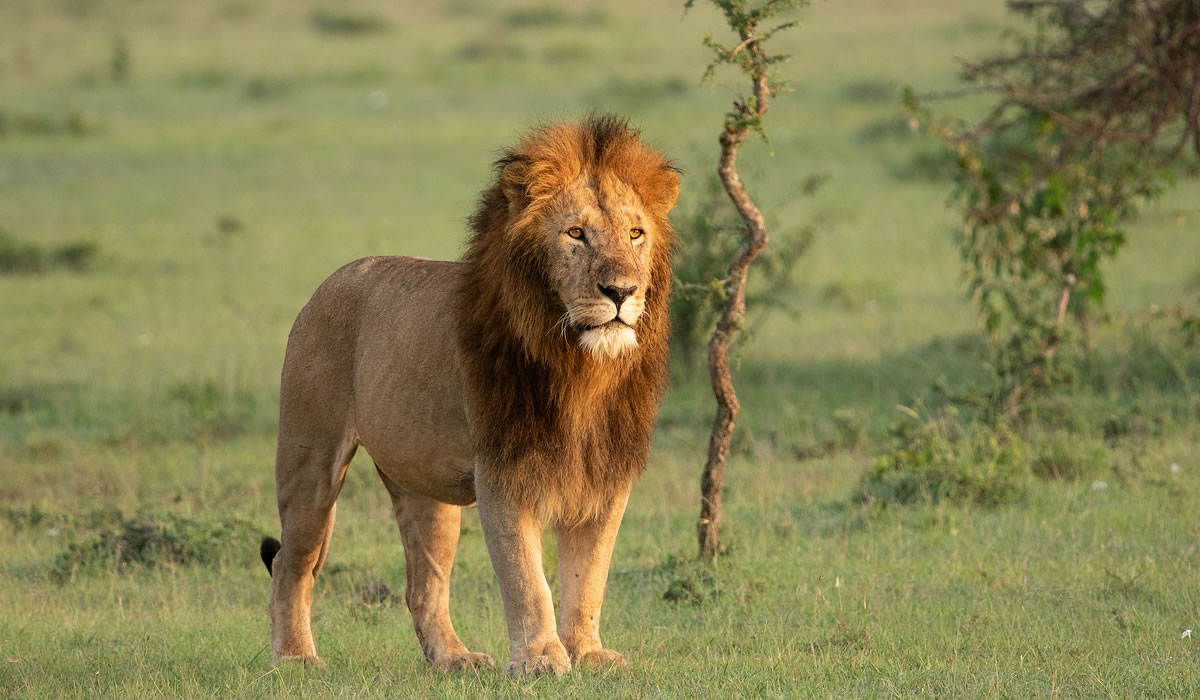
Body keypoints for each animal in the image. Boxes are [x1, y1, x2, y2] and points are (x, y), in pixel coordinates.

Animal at [259, 115, 680, 676]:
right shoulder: (503, 469)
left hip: (423, 486)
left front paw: (587, 653)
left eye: (636, 234)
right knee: (292, 562)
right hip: (311, 458)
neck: (582, 369)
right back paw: (296, 657)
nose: (621, 292)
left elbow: (589, 576)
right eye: (575, 233)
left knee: (423, 587)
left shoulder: (605, 475)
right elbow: (527, 579)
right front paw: (540, 661)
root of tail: (330, 281)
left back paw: (454, 660)